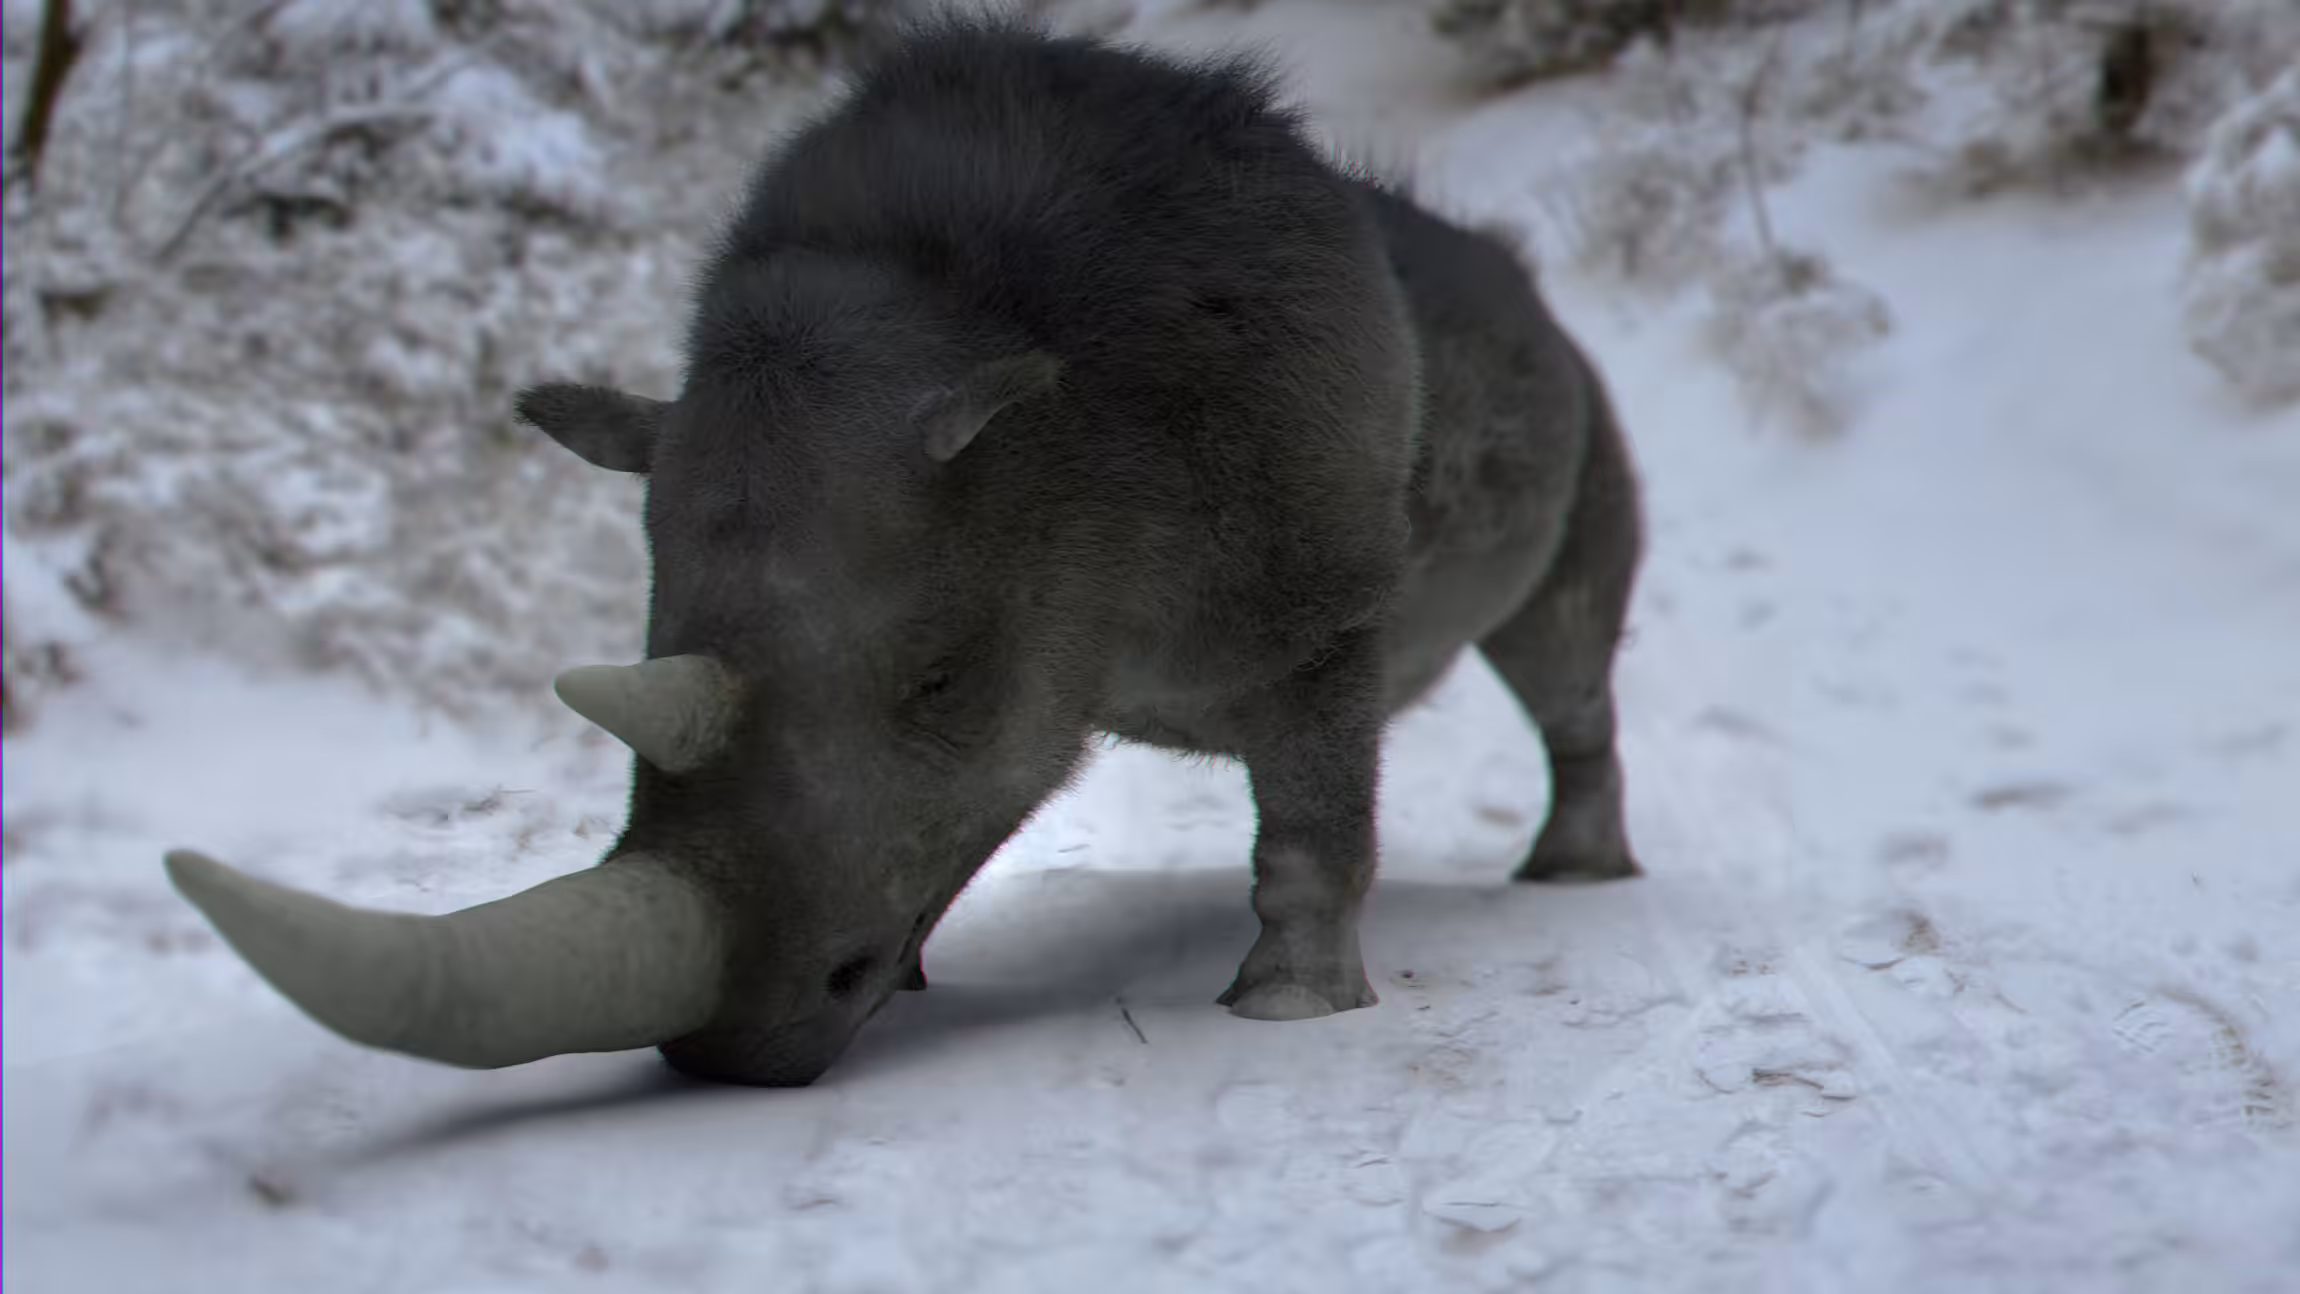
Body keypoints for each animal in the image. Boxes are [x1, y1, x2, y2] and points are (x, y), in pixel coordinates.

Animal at [164, 18, 1643, 1087]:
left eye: (938, 680)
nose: (732, 1052)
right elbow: (939, 813)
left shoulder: (1315, 602)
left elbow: (1314, 804)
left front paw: (1284, 1011)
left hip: (1576, 377)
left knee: (1560, 645)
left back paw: (1571, 879)